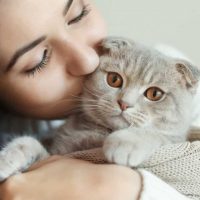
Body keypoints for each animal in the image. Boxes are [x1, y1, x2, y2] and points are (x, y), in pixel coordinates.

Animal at [0, 37, 200, 181]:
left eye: (155, 94)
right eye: (114, 79)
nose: (124, 103)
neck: (98, 133)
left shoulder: (173, 140)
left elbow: (155, 134)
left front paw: (124, 143)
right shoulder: (56, 153)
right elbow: (27, 142)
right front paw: (6, 159)